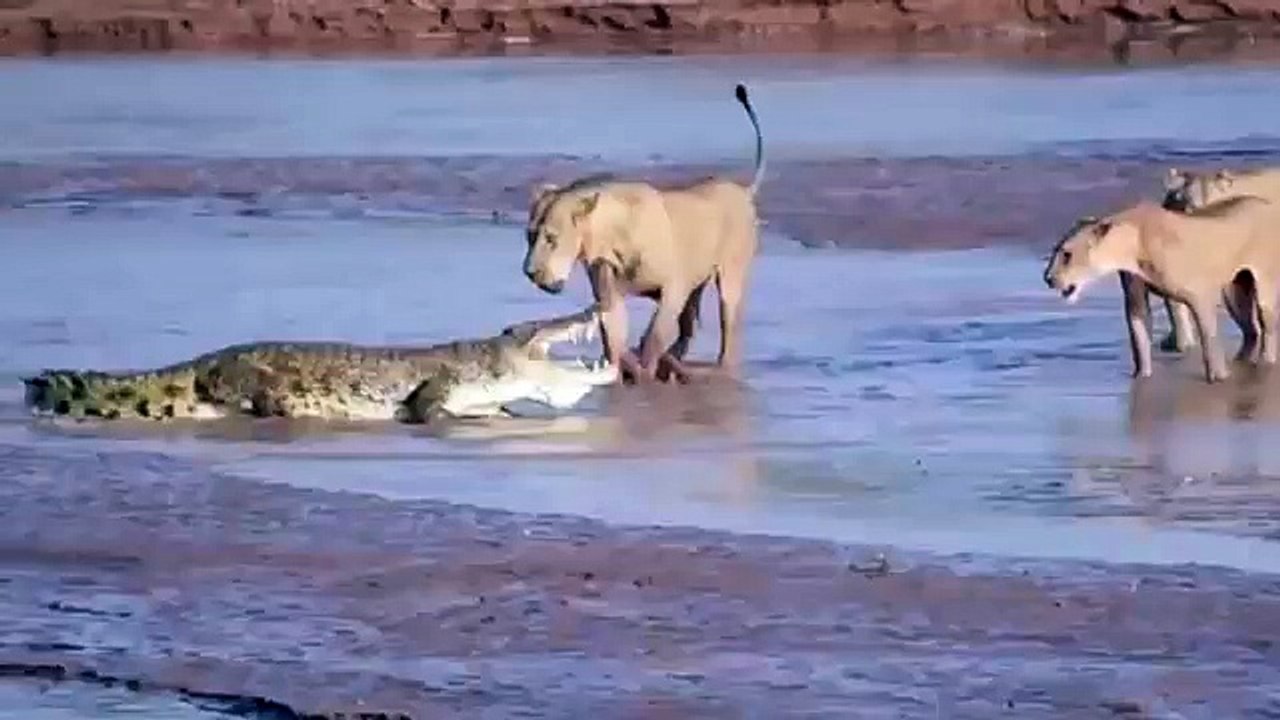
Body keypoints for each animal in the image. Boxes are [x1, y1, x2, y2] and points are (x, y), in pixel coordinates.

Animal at [521, 83, 766, 384]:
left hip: (730, 279)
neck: (611, 237)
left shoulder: (674, 288)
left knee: (727, 333)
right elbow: (614, 338)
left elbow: (654, 337)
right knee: (687, 330)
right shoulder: (609, 293)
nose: (529, 273)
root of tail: (742, 190)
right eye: (529, 236)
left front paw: (646, 371)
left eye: (552, 239)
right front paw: (622, 371)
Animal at [1043, 196, 1280, 383]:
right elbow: (1139, 336)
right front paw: (1141, 377)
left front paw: (1220, 378)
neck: (1131, 246)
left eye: (1067, 255)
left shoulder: (1200, 294)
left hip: (1264, 284)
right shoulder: (1134, 295)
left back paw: (1266, 364)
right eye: (1055, 251)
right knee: (1251, 330)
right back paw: (1243, 363)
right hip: (1234, 291)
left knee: (1267, 326)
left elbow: (1209, 339)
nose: (1048, 279)